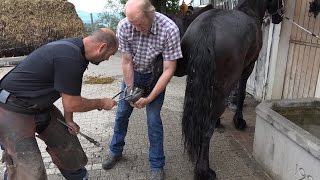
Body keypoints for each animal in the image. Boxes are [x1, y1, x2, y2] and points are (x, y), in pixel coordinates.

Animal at [176, 0, 284, 180]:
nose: (279, 17)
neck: (250, 11)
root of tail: (209, 27)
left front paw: (219, 122)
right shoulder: (247, 68)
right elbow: (240, 94)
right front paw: (239, 121)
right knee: (206, 128)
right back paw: (203, 170)